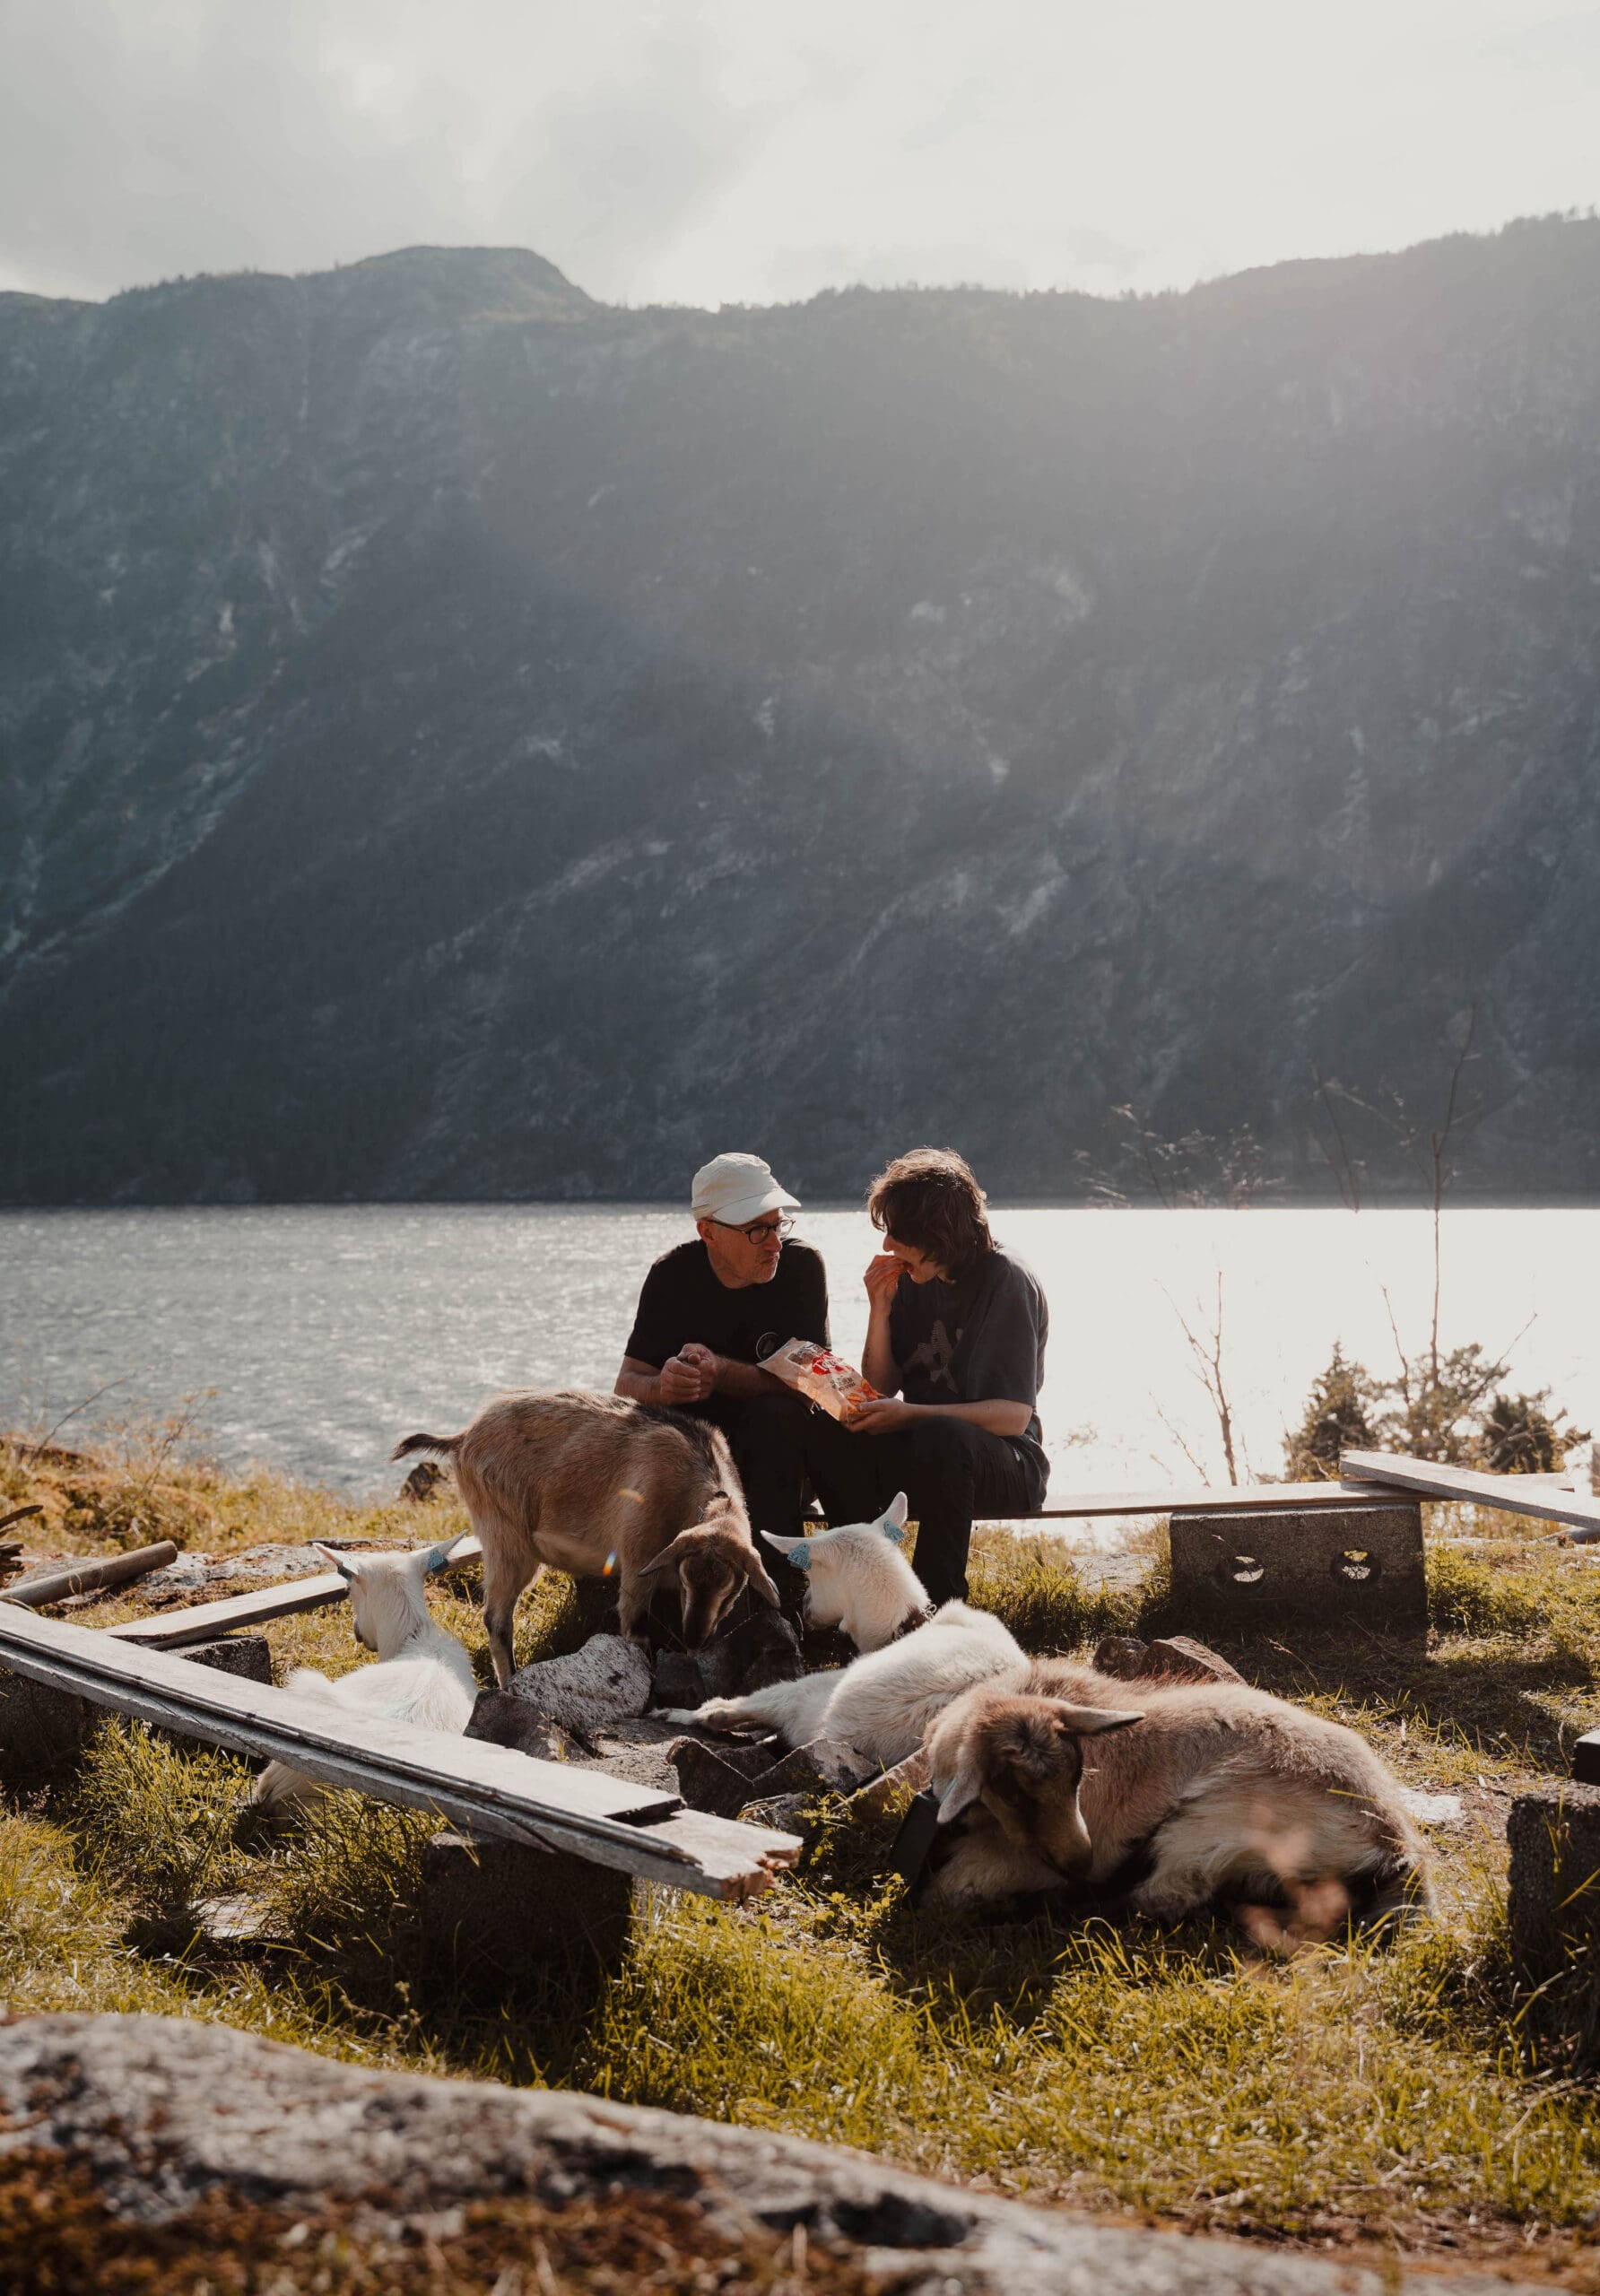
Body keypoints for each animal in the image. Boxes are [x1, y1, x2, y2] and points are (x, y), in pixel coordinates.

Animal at [392, 1378, 780, 1690]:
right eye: (686, 1579)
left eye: (731, 1589)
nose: (696, 1636)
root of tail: (462, 1438)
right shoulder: (638, 1561)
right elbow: (635, 1630)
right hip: (505, 1536)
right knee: (497, 1619)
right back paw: (509, 1683)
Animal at [657, 1497, 1023, 1763]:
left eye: (814, 1572)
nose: (805, 1606)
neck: (901, 1623)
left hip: (809, 1692)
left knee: (730, 1710)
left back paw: (675, 1713)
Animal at [917, 1662, 1432, 1928]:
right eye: (1015, 1795)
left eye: (1078, 1776)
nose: (1080, 1864)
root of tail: (1395, 1844)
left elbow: (948, 1891)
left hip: (1209, 1824)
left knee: (1168, 1894)